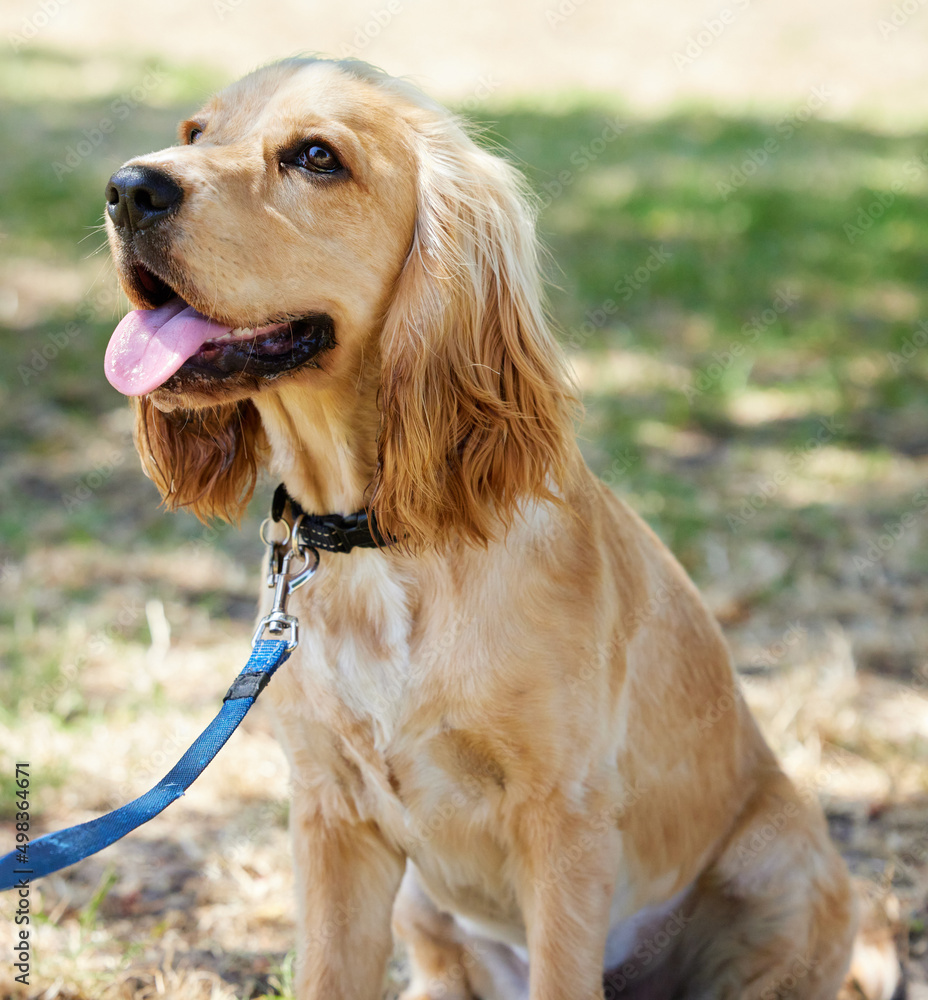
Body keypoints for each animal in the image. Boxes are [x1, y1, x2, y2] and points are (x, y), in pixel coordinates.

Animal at [101, 56, 892, 1000]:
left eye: (318, 156)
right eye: (195, 132)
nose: (127, 189)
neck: (384, 536)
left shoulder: (563, 817)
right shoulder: (331, 816)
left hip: (786, 863)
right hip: (428, 918)